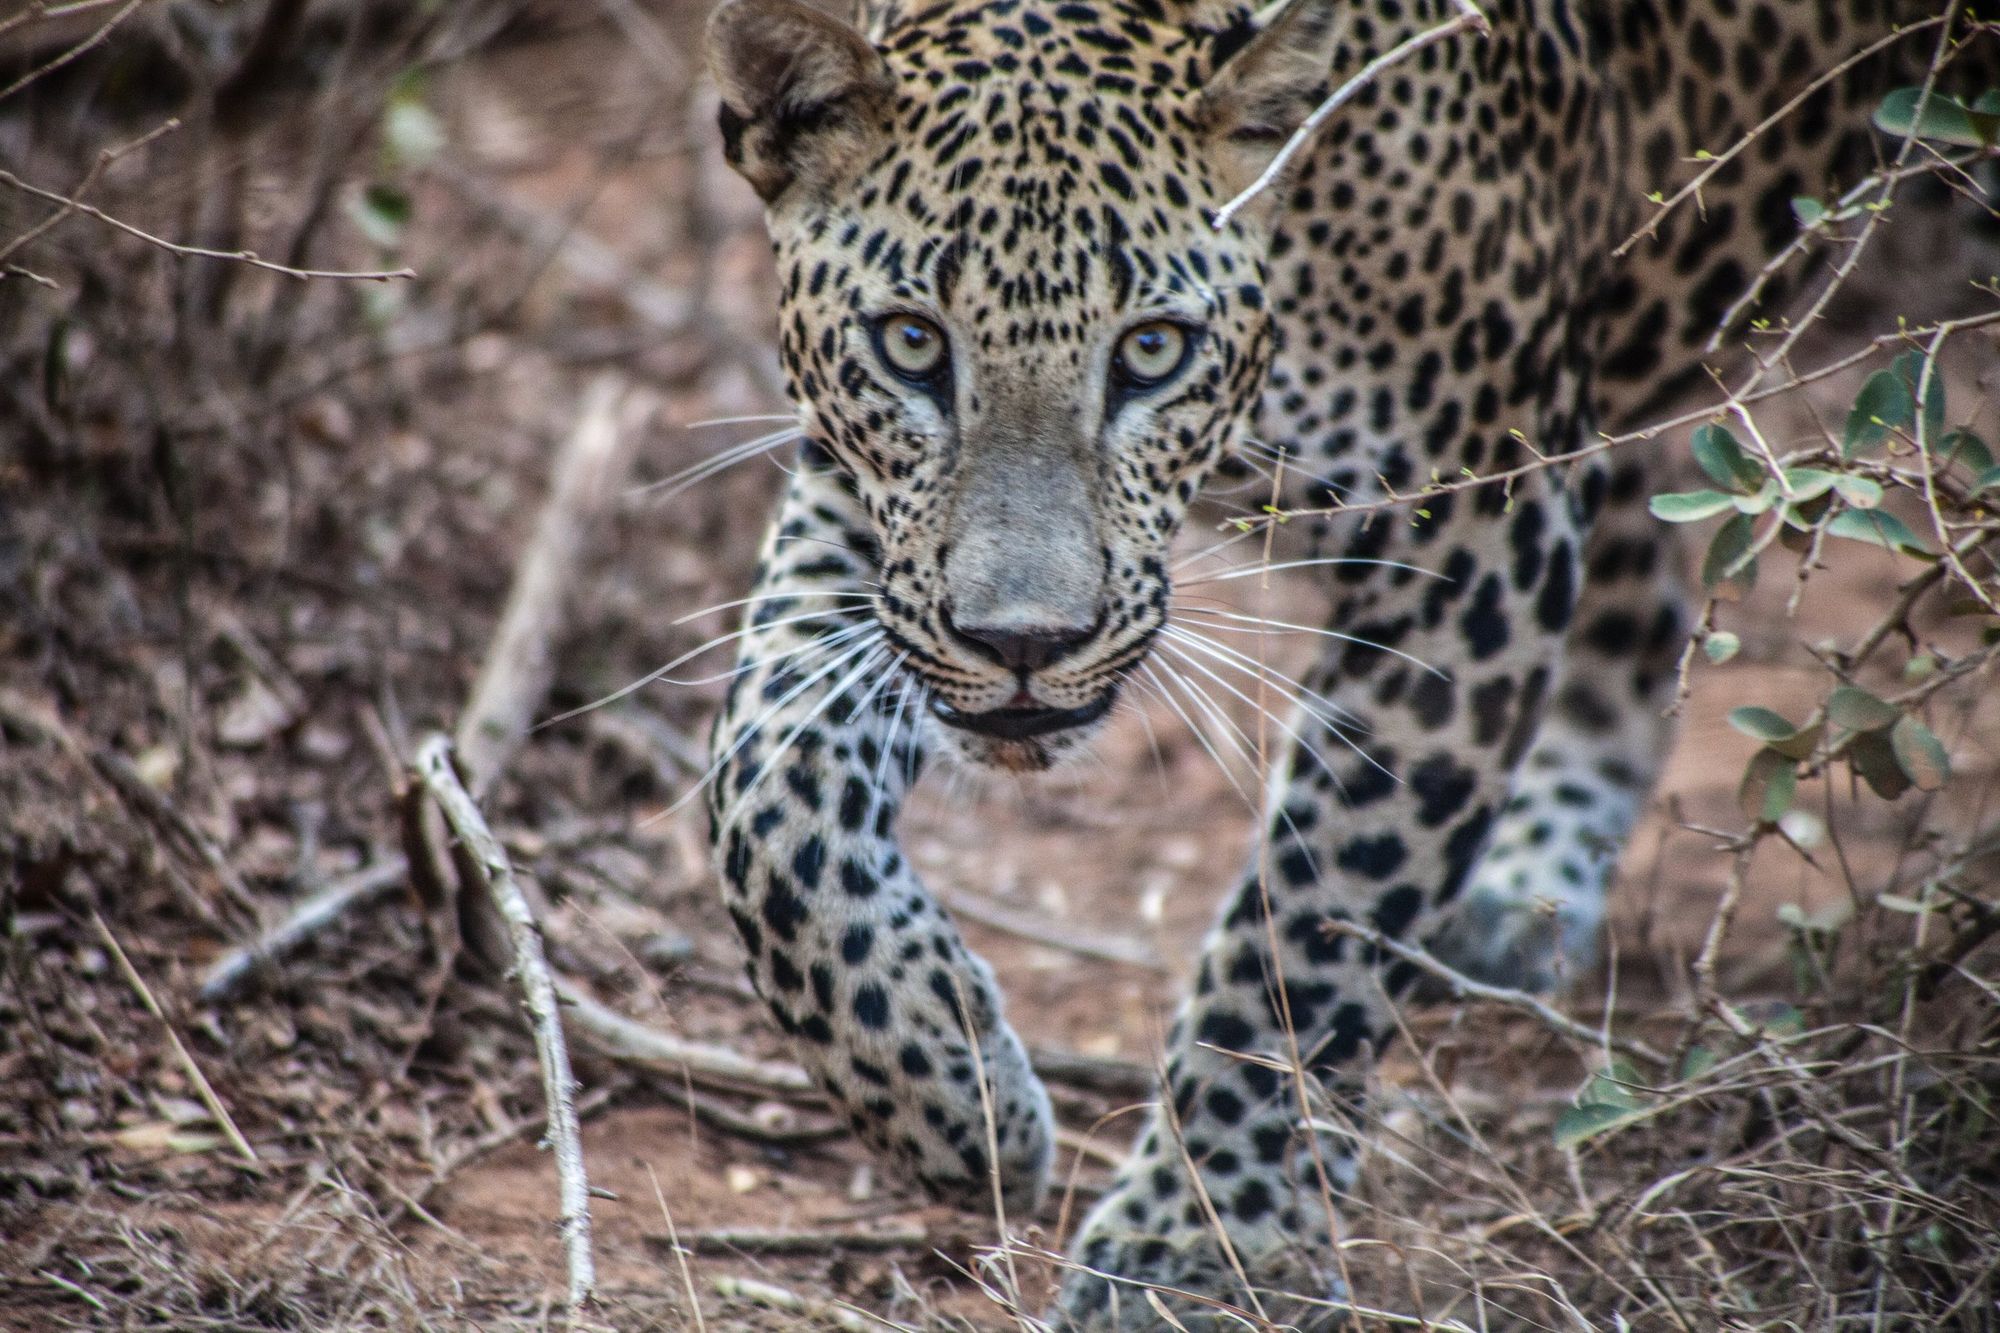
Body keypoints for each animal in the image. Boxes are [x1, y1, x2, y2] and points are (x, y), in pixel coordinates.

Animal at [694, 0, 1978, 1324]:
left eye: (1151, 351)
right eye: (909, 344)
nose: (1023, 643)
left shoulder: (1475, 531)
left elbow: (1314, 912)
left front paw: (1196, 1240)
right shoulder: (866, 506)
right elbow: (766, 789)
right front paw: (954, 1094)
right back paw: (1529, 887)